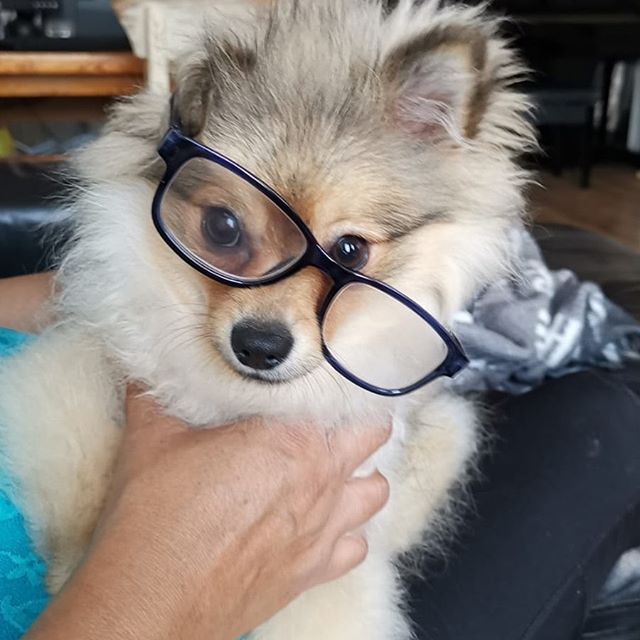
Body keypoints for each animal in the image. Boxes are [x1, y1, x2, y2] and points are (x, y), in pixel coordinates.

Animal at [0, 2, 532, 636]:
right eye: (223, 227)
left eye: (350, 252)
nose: (258, 345)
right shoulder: (62, 369)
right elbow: (75, 470)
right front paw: (70, 568)